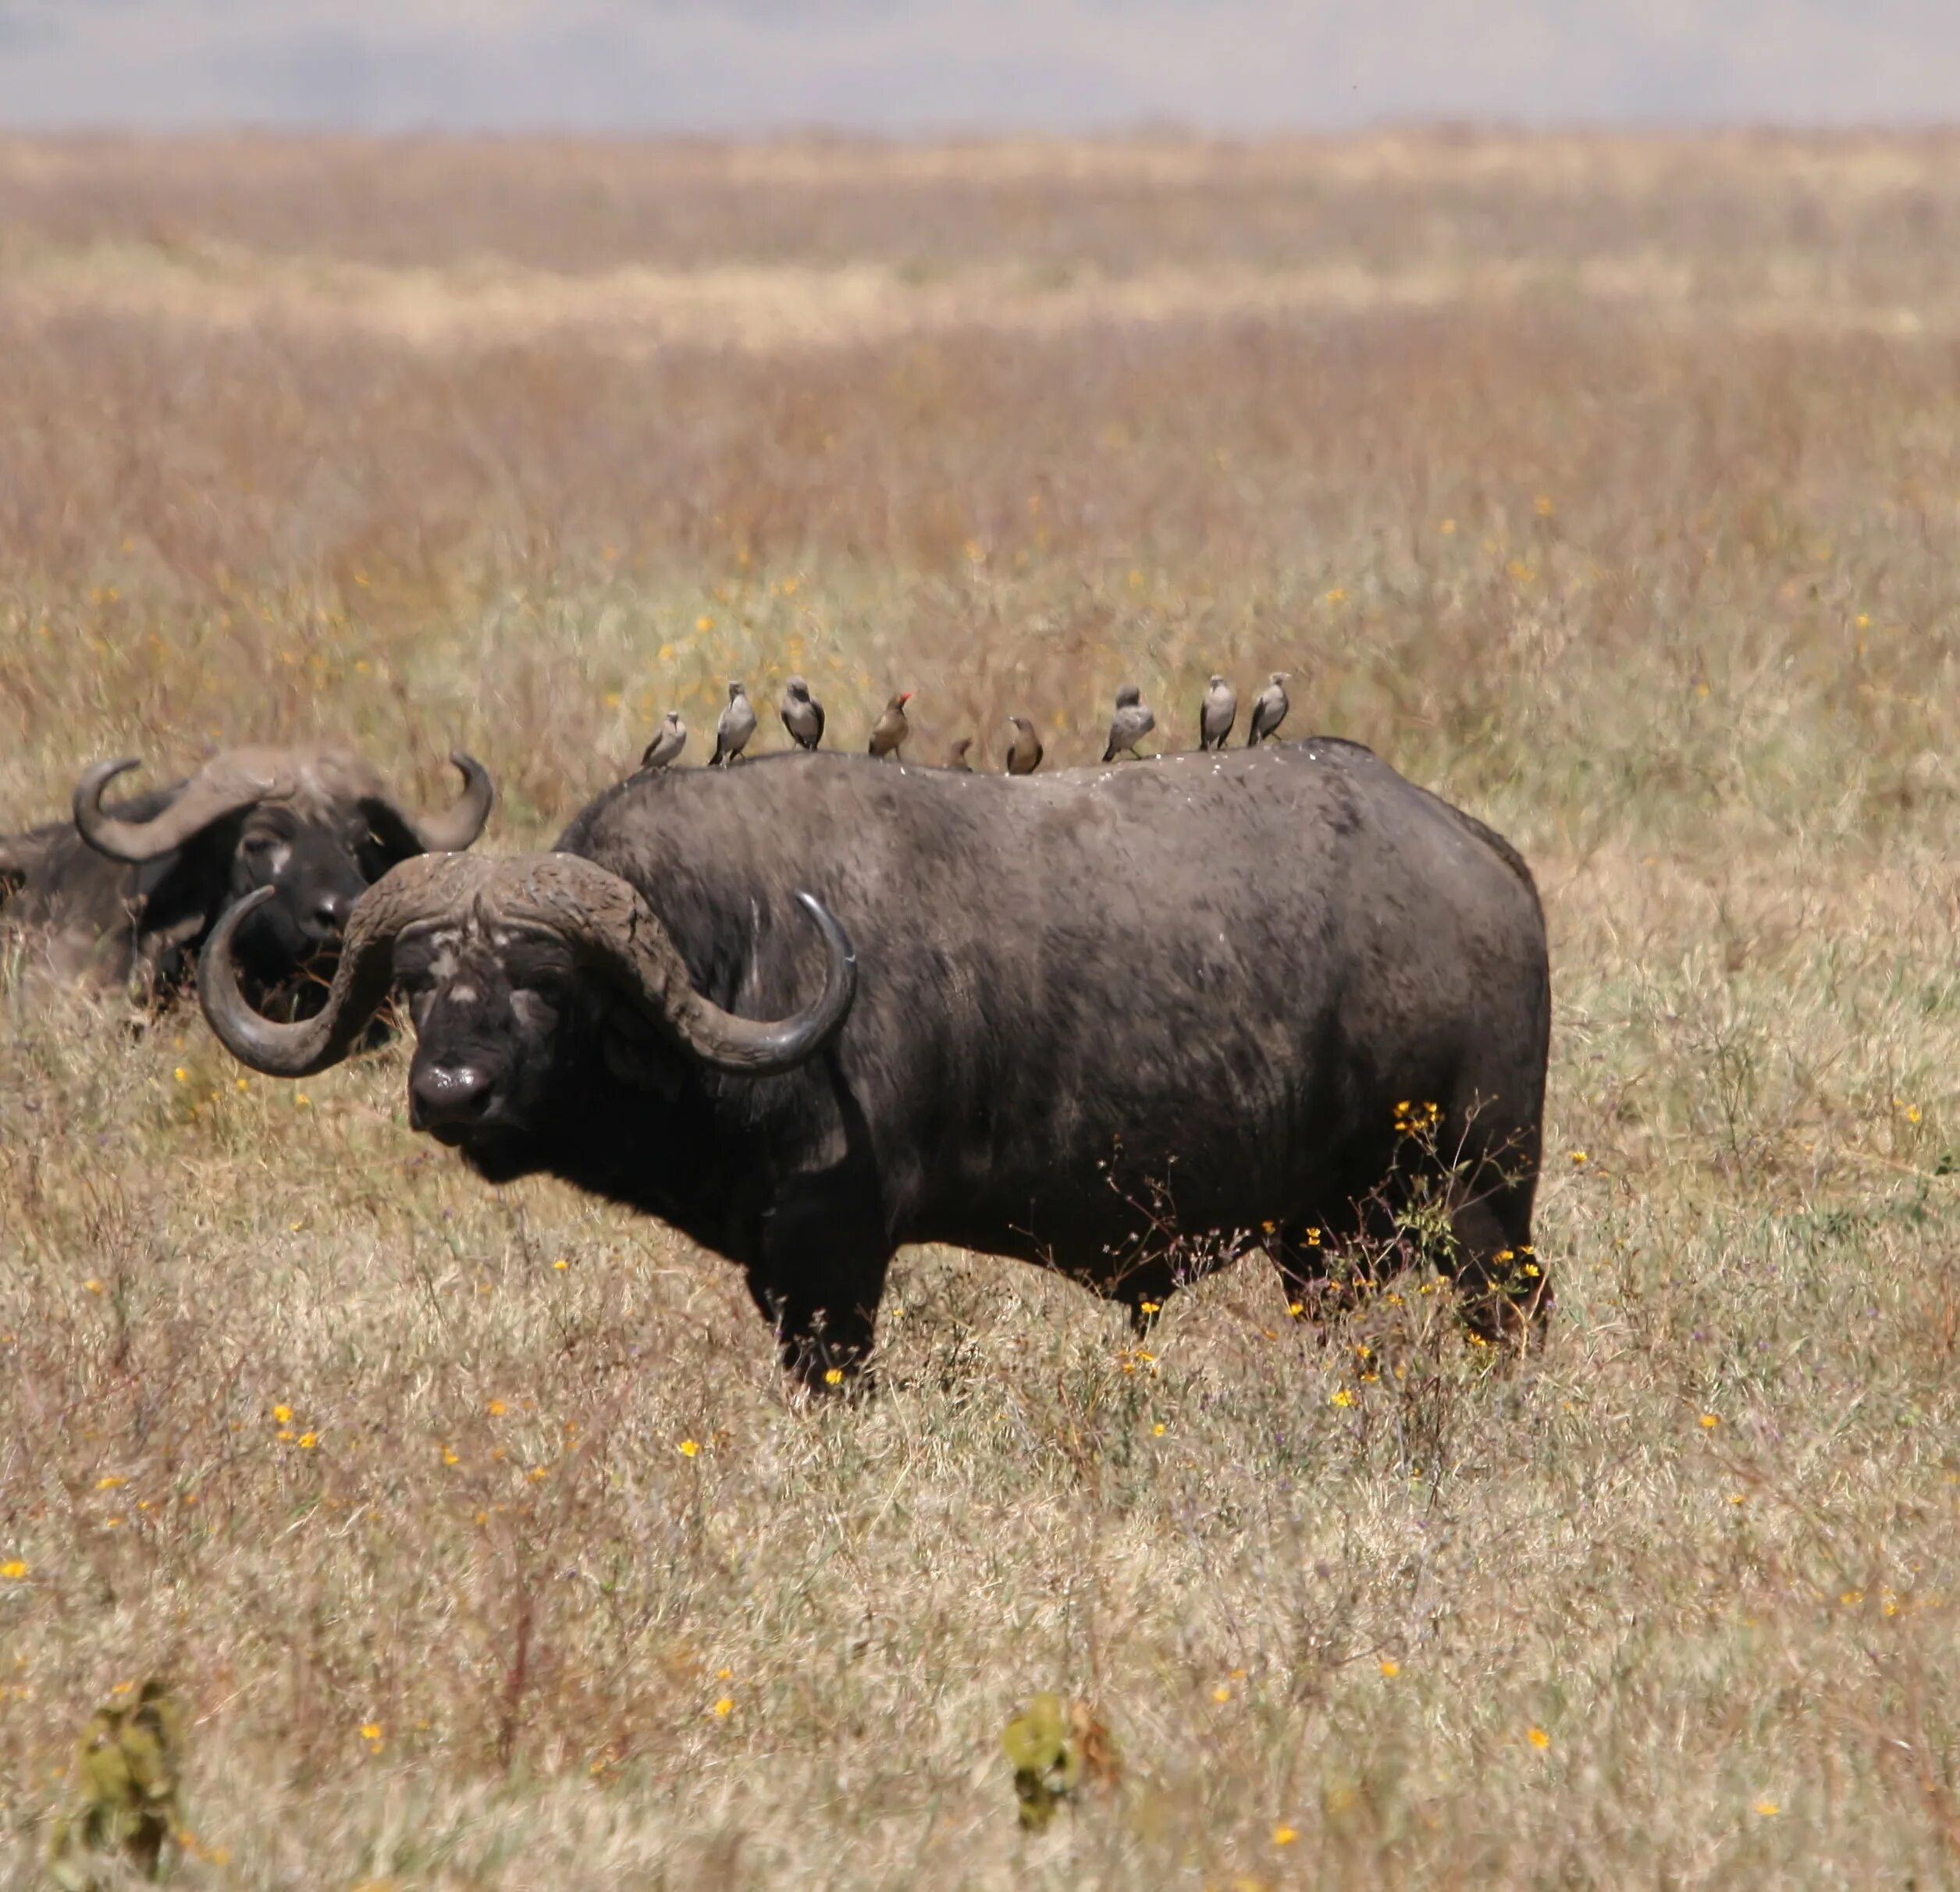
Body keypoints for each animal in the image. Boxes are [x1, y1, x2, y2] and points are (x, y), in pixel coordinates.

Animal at [194, 737, 1544, 1372]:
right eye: (420, 981)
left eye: (541, 983)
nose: (449, 1091)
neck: (733, 953)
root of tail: (1476, 853)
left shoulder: (830, 1258)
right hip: (1326, 1237)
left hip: (1479, 1195)